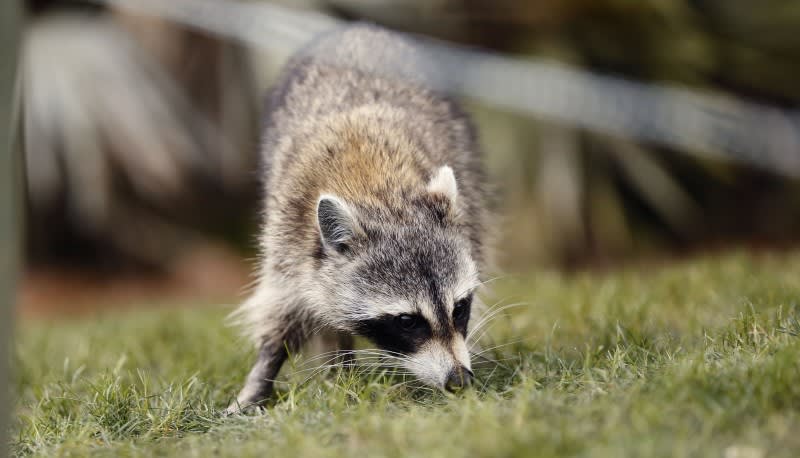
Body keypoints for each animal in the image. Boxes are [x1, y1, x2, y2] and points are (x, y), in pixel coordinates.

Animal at [227, 24, 490, 412]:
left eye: (459, 308)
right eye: (407, 321)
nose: (459, 380)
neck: (377, 190)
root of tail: (363, 29)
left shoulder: (470, 212)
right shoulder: (288, 235)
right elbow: (285, 309)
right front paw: (263, 371)